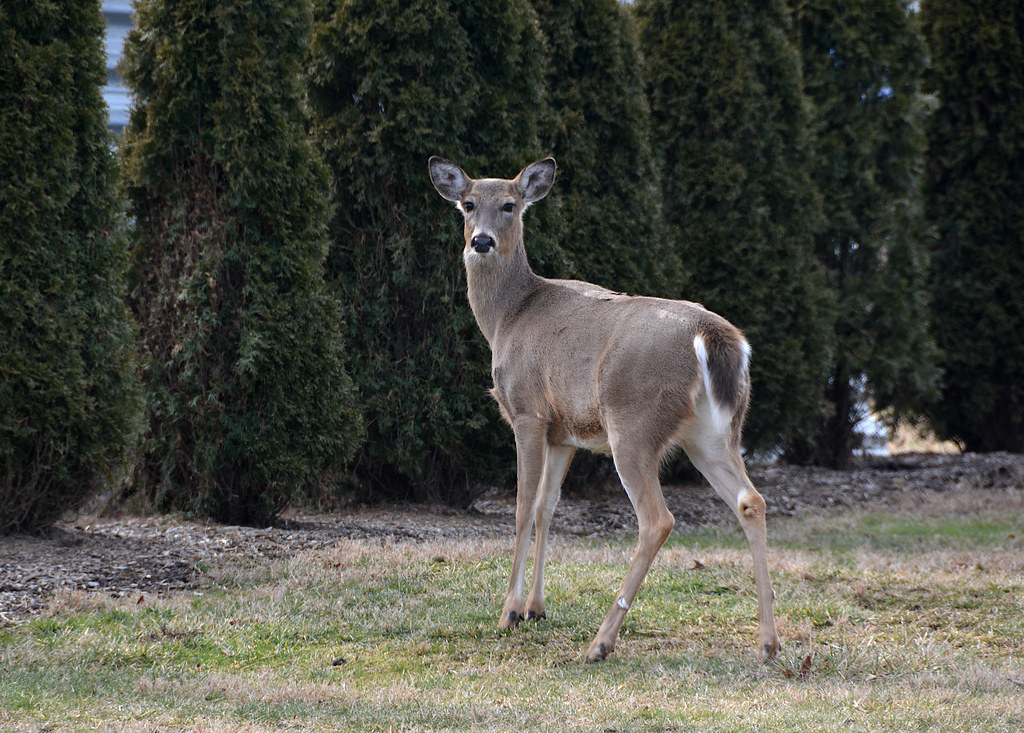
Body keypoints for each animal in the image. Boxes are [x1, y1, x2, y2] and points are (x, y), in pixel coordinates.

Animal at [428, 156, 781, 664]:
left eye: (510, 205)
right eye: (469, 204)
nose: (481, 241)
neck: (508, 318)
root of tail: (715, 337)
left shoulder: (527, 411)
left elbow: (521, 506)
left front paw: (509, 612)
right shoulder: (563, 433)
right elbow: (547, 507)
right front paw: (536, 608)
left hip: (633, 421)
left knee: (657, 520)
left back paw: (601, 642)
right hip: (713, 432)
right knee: (750, 500)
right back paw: (769, 641)